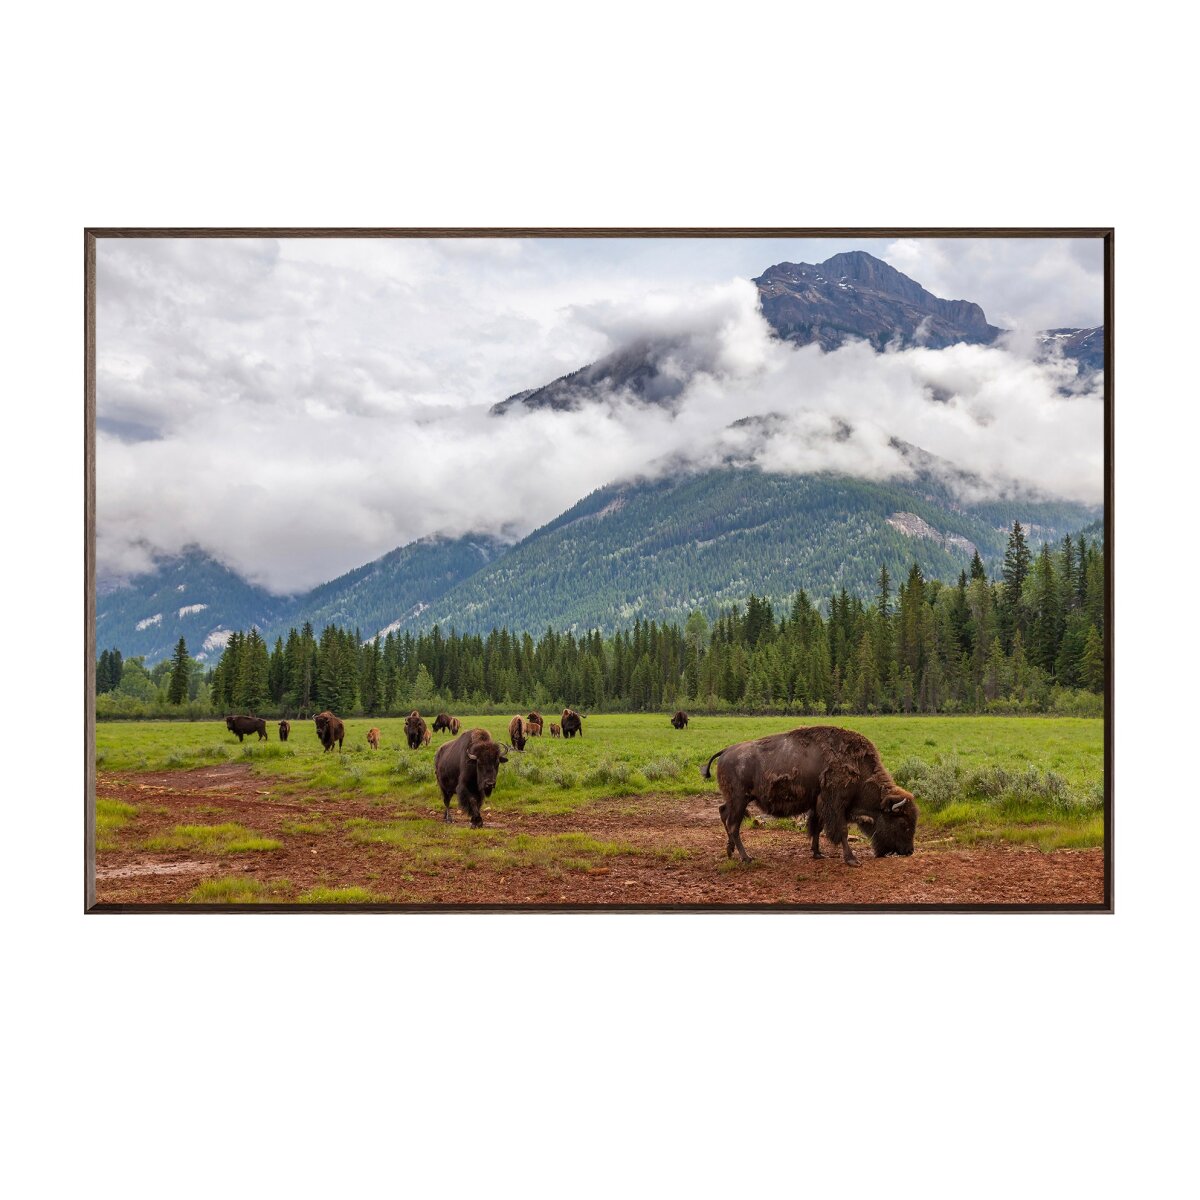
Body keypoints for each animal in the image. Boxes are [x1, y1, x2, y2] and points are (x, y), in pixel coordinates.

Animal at [702, 726, 918, 866]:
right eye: (902, 823)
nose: (909, 851)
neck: (858, 769)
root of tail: (725, 751)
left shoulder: (818, 804)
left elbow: (816, 828)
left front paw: (817, 853)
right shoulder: (835, 805)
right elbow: (841, 831)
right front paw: (852, 860)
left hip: (735, 800)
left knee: (723, 813)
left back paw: (730, 852)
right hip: (739, 800)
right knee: (733, 825)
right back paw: (746, 858)